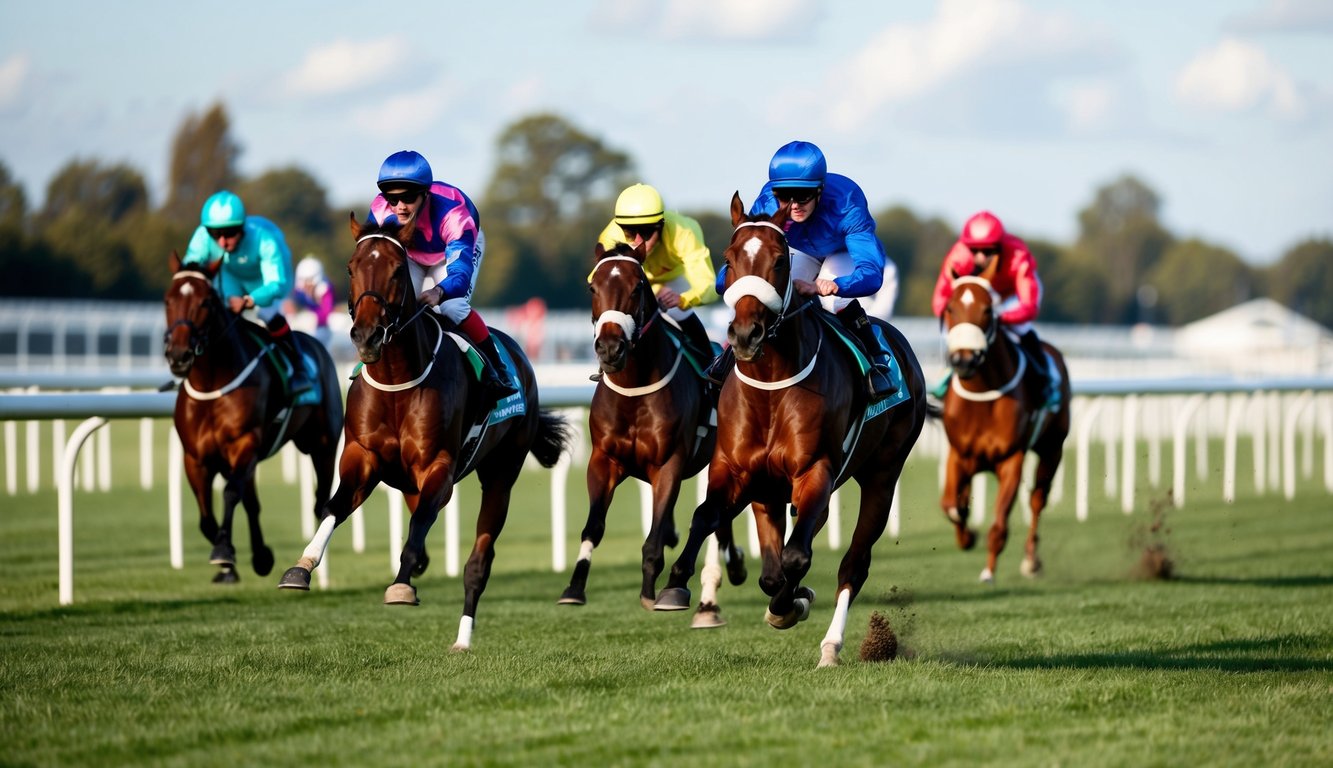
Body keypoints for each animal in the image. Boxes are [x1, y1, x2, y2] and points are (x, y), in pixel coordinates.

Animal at [162, 252, 343, 581]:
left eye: (206, 302)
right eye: (168, 300)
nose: (179, 355)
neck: (212, 383)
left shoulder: (243, 443)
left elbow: (231, 493)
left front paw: (224, 550)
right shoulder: (196, 458)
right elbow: (207, 518)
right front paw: (233, 559)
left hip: (321, 445)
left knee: (320, 498)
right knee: (253, 503)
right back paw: (260, 556)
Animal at [278, 216, 570, 653]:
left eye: (399, 270)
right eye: (350, 267)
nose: (367, 336)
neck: (396, 381)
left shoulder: (439, 467)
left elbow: (418, 529)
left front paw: (401, 586)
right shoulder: (362, 457)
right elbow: (334, 507)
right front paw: (302, 566)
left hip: (502, 472)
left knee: (478, 562)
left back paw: (462, 638)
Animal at [559, 242, 751, 626]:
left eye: (637, 287)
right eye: (592, 287)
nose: (610, 348)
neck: (635, 390)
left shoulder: (669, 464)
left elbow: (654, 536)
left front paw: (651, 593)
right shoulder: (604, 461)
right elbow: (593, 527)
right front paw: (574, 587)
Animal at [653, 193, 927, 666]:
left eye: (780, 261)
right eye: (728, 259)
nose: (746, 334)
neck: (770, 388)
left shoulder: (815, 471)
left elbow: (796, 557)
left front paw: (789, 605)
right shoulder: (736, 470)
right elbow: (708, 517)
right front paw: (675, 585)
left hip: (882, 473)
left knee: (852, 562)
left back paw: (830, 644)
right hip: (771, 490)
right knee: (778, 554)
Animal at [938, 254, 1071, 584]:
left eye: (988, 309)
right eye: (950, 308)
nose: (964, 360)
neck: (982, 394)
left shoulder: (1012, 459)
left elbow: (999, 524)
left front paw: (988, 571)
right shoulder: (959, 455)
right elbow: (951, 507)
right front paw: (967, 536)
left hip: (1052, 448)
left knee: (1037, 500)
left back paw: (1031, 560)